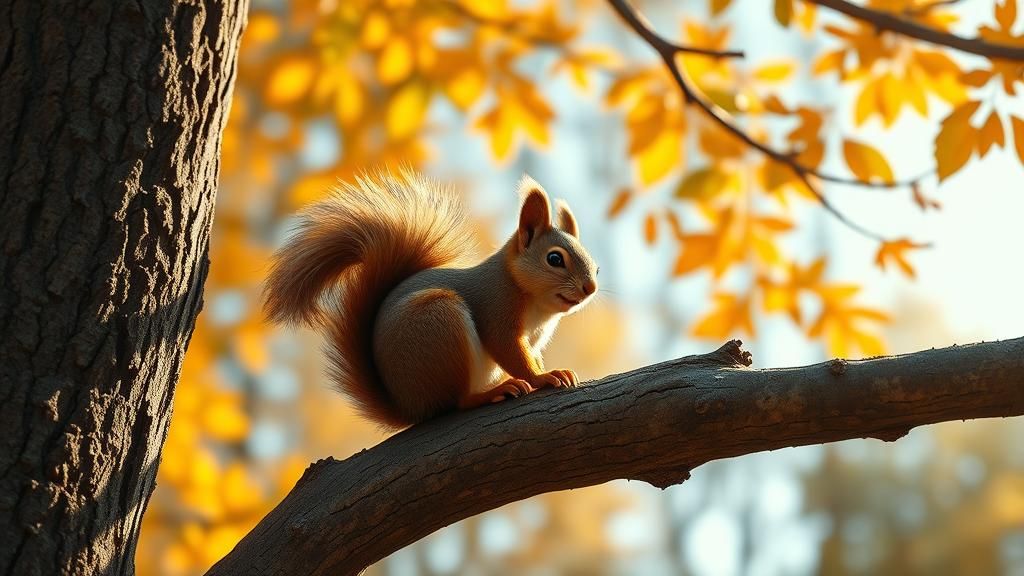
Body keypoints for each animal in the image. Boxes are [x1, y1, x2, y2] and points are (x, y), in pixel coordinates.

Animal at [263, 169, 599, 429]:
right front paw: (544, 377)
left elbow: (531, 355)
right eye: (554, 259)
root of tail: (410, 407)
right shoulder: (496, 307)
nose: (590, 288)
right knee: (457, 401)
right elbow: (511, 353)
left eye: (595, 265)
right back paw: (491, 393)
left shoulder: (533, 339)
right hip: (440, 323)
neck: (537, 307)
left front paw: (548, 368)